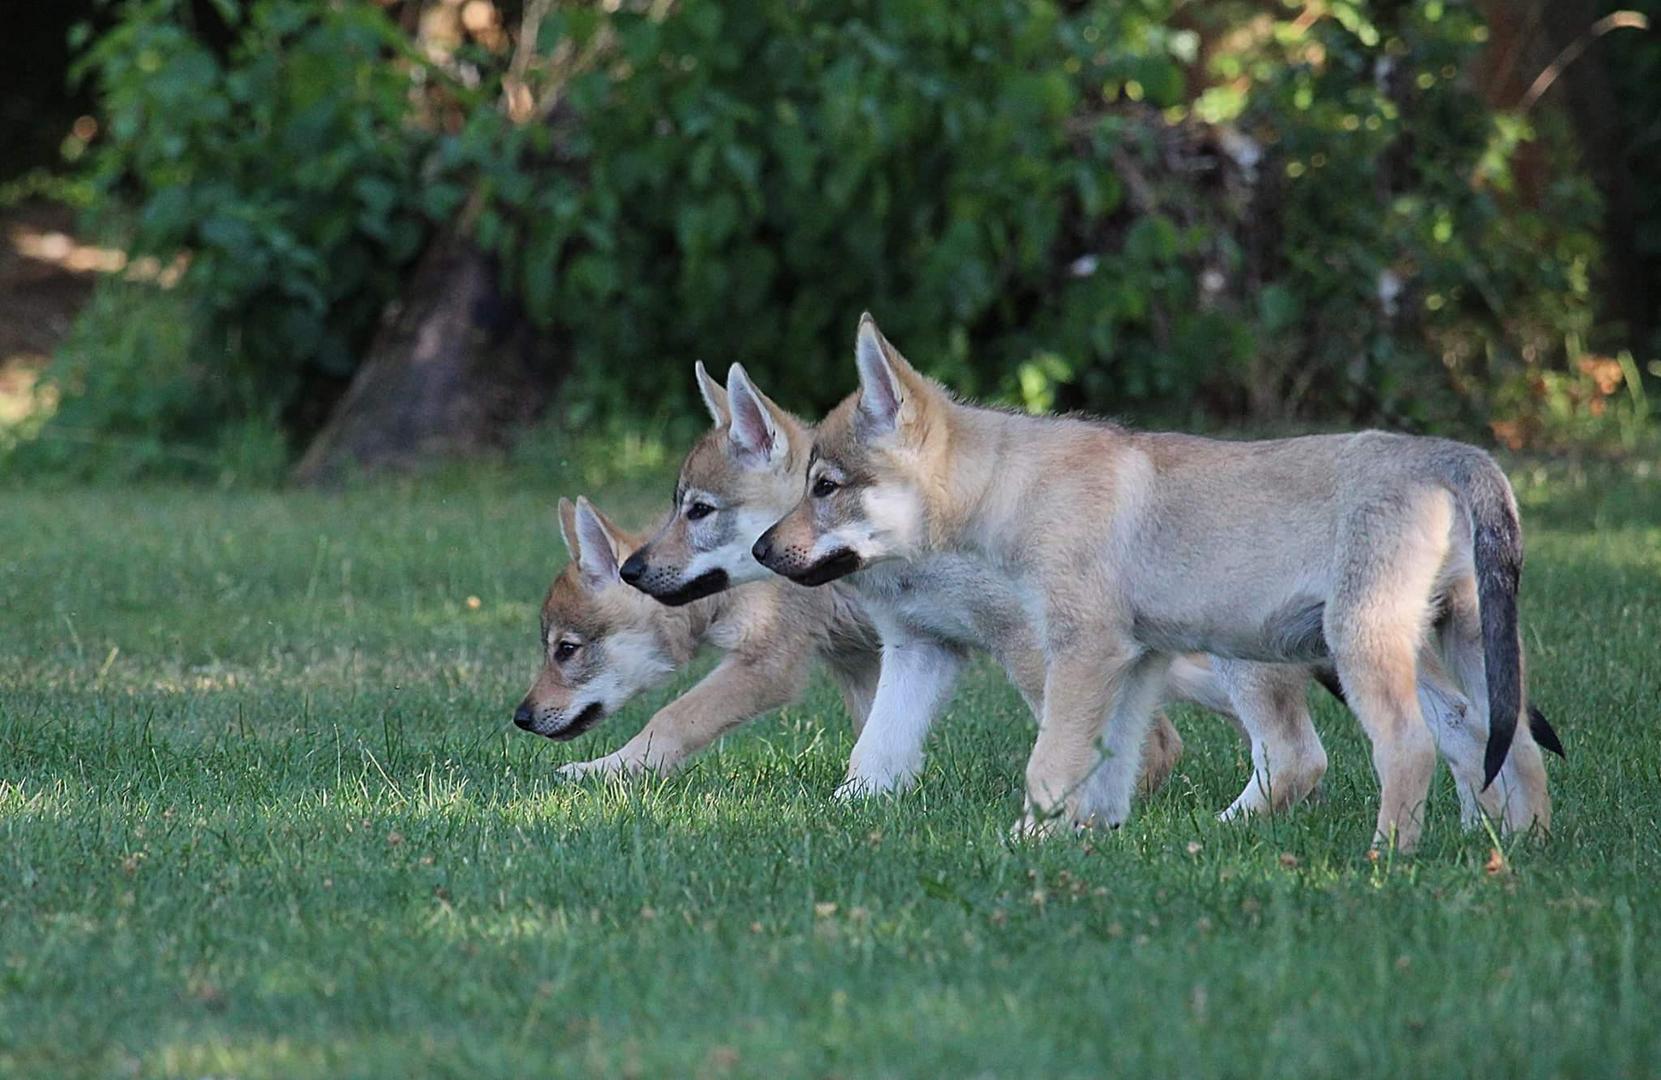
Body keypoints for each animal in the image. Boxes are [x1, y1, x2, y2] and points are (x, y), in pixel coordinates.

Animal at [514, 491, 883, 777]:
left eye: (566, 649)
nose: (520, 718)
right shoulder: (856, 662)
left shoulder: (766, 665)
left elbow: (668, 718)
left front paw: (602, 769)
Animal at [757, 310, 1554, 850]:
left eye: (825, 487)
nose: (763, 552)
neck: (1014, 487)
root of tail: (1449, 456)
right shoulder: (1136, 663)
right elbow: (1110, 768)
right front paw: (1094, 838)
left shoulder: (1082, 654)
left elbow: (1050, 765)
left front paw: (1025, 844)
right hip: (1458, 645)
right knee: (1507, 743)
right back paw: (1522, 848)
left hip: (1350, 651)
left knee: (1404, 749)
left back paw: (1384, 859)